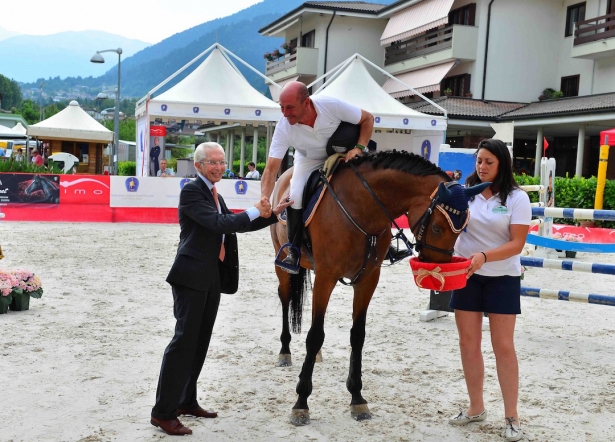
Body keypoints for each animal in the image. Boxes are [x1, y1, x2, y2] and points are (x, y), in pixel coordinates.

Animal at [268, 151, 486, 424]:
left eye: (463, 229)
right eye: (437, 227)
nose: (436, 267)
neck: (361, 208)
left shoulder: (368, 280)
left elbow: (357, 336)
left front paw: (357, 399)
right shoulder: (327, 277)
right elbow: (315, 335)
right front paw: (301, 402)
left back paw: (316, 357)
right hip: (284, 262)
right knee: (285, 297)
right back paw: (284, 350)